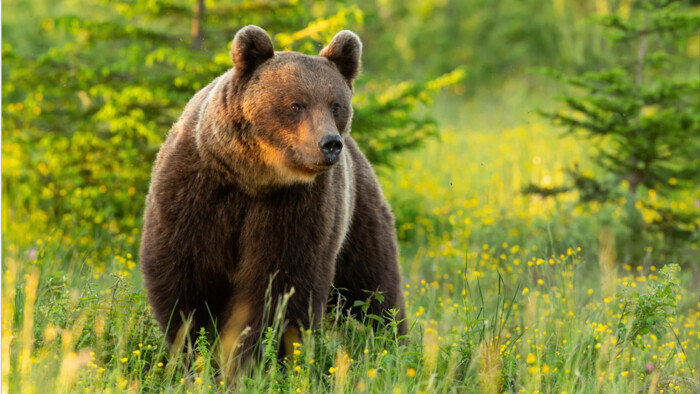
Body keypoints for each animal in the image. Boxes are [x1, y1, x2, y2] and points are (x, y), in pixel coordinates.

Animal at [138, 24, 404, 370]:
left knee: (375, 288)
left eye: (336, 105)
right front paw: (194, 353)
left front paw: (247, 359)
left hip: (358, 216)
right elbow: (185, 277)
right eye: (296, 104)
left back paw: (396, 344)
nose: (330, 144)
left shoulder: (296, 207)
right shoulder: (196, 192)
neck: (252, 177)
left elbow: (278, 285)